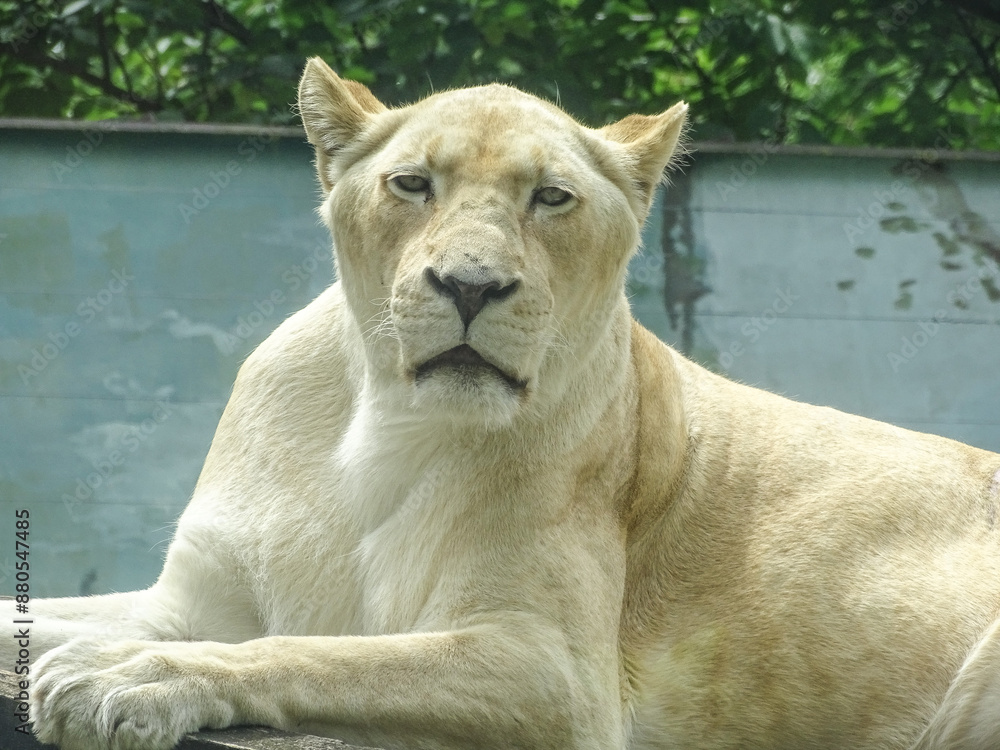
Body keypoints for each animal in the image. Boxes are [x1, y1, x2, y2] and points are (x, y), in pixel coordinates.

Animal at [9, 57, 1000, 750]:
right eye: (413, 183)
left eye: (550, 197)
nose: (471, 286)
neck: (385, 419)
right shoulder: (192, 599)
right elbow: (42, 617)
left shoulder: (554, 671)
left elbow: (318, 652)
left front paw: (125, 676)